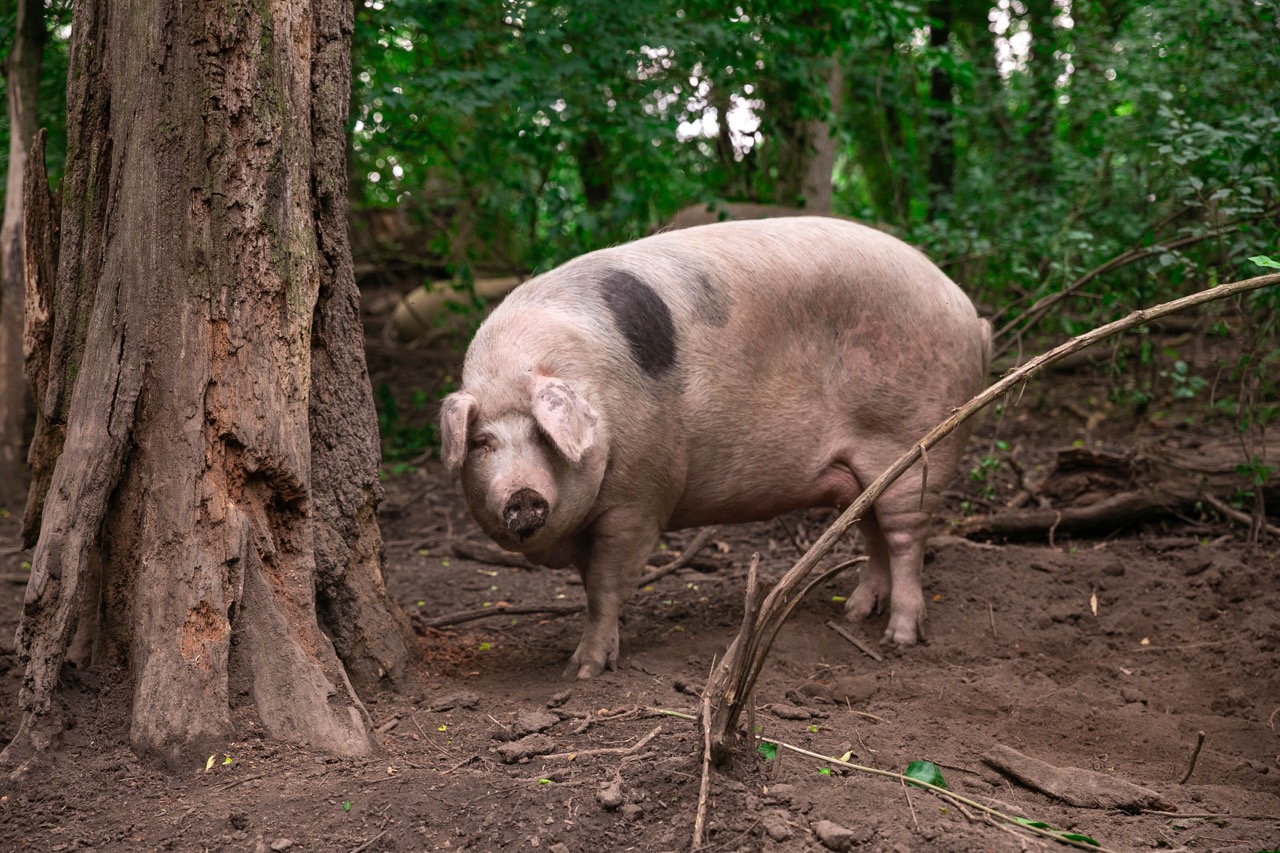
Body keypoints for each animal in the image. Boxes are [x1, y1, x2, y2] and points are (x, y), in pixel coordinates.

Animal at [440, 217, 991, 679]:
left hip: (915, 444)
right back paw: (855, 614)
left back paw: (899, 638)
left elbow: (604, 587)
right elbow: (591, 585)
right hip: (867, 472)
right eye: (483, 442)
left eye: (542, 436)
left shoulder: (639, 498)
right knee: (873, 532)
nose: (523, 496)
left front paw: (582, 672)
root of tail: (969, 311)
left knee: (904, 537)